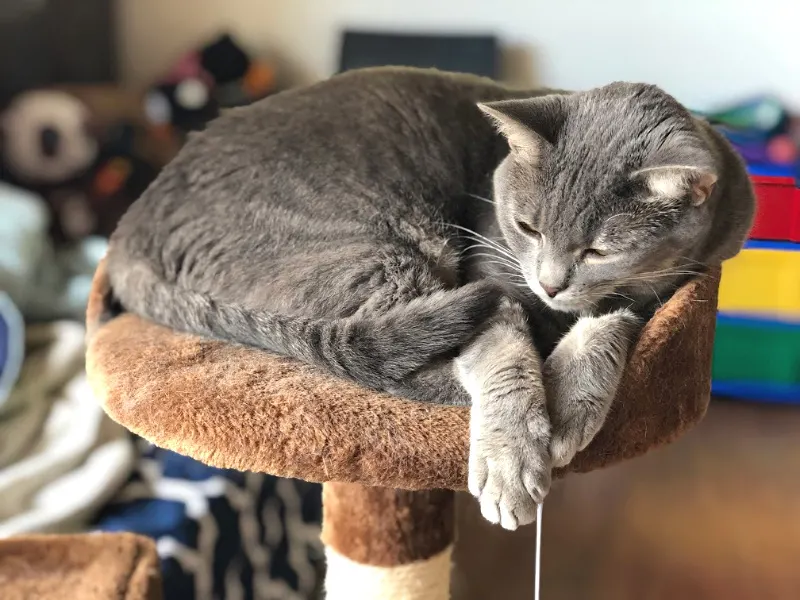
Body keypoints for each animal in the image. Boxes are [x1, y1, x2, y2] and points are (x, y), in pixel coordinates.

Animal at [108, 67, 756, 528]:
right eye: (527, 227)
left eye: (597, 250)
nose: (549, 282)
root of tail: (129, 228)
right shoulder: (493, 268)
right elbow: (506, 352)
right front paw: (515, 455)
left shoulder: (672, 284)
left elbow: (611, 317)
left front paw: (571, 399)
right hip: (377, 252)